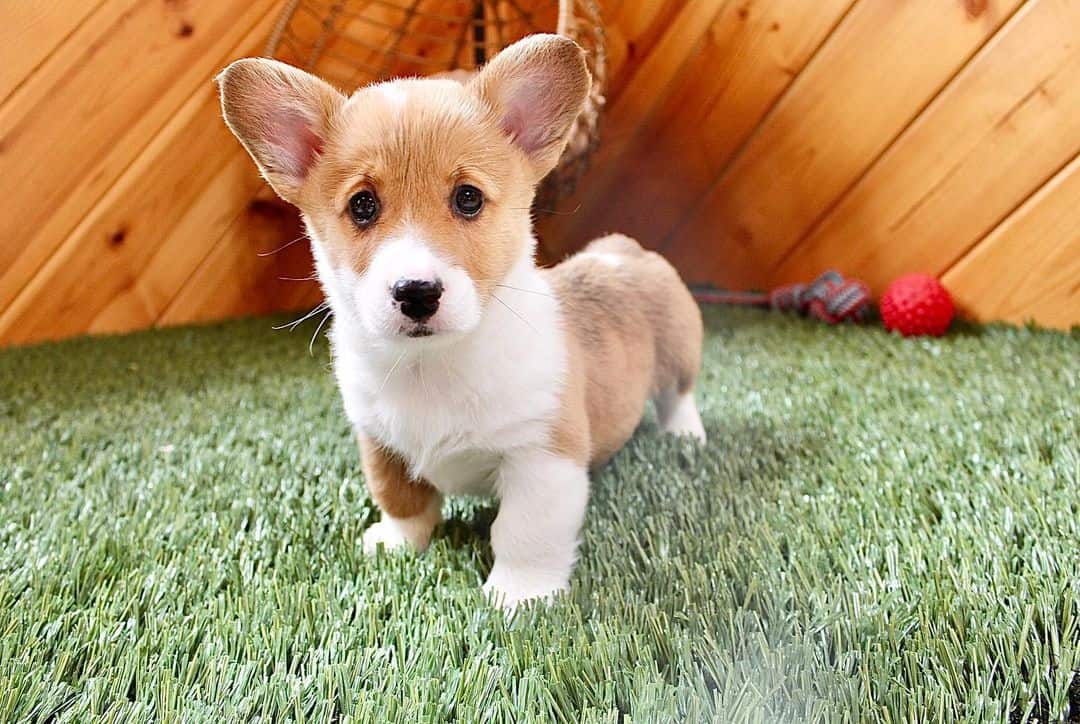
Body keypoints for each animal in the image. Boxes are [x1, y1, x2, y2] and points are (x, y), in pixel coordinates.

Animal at [219, 35, 708, 613]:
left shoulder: (542, 458)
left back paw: (685, 435)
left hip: (679, 350)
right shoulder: (378, 440)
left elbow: (523, 533)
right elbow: (400, 498)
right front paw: (395, 545)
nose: (416, 293)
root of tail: (620, 250)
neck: (432, 363)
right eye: (362, 205)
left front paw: (518, 595)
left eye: (467, 198)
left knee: (680, 394)